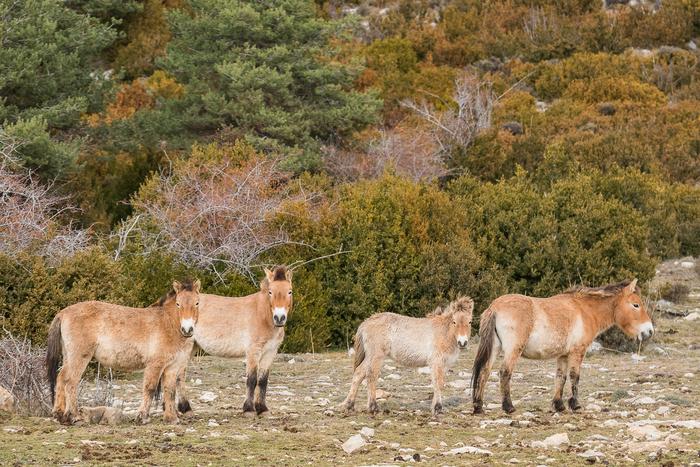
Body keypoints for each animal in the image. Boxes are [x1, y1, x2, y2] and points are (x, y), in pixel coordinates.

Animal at [45, 279, 201, 425]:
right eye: (178, 304)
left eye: (197, 303)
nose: (187, 329)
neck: (168, 323)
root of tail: (63, 313)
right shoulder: (155, 365)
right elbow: (150, 388)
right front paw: (143, 417)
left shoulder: (172, 367)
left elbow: (170, 391)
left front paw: (171, 418)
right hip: (79, 357)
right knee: (71, 381)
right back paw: (74, 416)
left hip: (68, 356)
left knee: (61, 378)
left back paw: (59, 415)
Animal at [173, 266, 293, 417]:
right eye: (270, 292)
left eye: (290, 291)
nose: (279, 318)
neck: (263, 315)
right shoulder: (253, 351)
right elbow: (252, 379)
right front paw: (249, 409)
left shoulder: (270, 352)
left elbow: (263, 380)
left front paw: (262, 409)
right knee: (179, 375)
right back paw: (185, 408)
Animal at [341, 296, 474, 415]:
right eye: (454, 321)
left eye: (470, 321)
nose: (462, 342)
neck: (444, 332)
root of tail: (365, 323)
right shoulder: (436, 362)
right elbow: (438, 383)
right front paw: (437, 409)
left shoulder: (444, 364)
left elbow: (439, 383)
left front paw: (436, 407)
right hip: (376, 356)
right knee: (371, 376)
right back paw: (373, 408)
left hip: (370, 357)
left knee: (359, 374)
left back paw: (349, 406)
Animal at [471, 279, 654, 415]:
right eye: (636, 305)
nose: (649, 331)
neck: (584, 310)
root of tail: (494, 307)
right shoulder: (578, 351)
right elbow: (574, 376)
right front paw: (575, 405)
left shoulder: (563, 355)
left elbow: (561, 377)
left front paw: (559, 405)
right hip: (513, 350)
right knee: (505, 372)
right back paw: (508, 407)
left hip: (495, 348)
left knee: (485, 372)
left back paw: (478, 406)